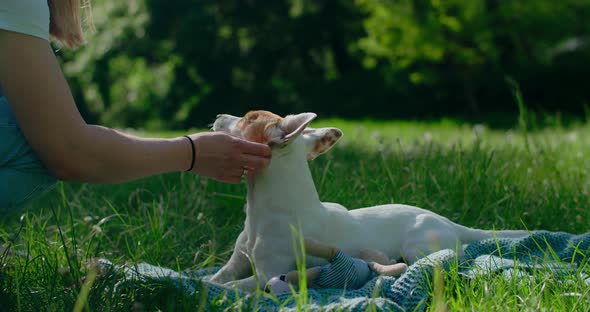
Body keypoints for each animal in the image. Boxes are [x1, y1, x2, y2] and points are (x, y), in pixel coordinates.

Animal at [210, 111, 528, 292]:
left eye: (247, 118)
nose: (217, 114)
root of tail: (450, 222)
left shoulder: (267, 275)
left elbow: (232, 286)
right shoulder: (236, 264)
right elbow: (216, 279)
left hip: (419, 246)